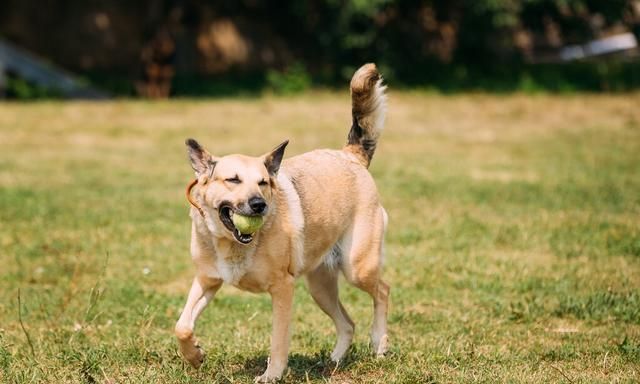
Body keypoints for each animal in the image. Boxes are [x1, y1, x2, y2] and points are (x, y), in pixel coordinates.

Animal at [172, 63, 390, 380]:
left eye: (263, 182)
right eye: (232, 179)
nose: (259, 205)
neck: (230, 243)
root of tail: (351, 155)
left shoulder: (283, 288)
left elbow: (278, 340)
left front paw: (272, 375)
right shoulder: (207, 280)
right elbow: (182, 326)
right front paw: (195, 356)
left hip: (357, 268)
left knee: (382, 290)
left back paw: (380, 345)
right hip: (320, 286)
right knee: (347, 323)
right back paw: (335, 360)